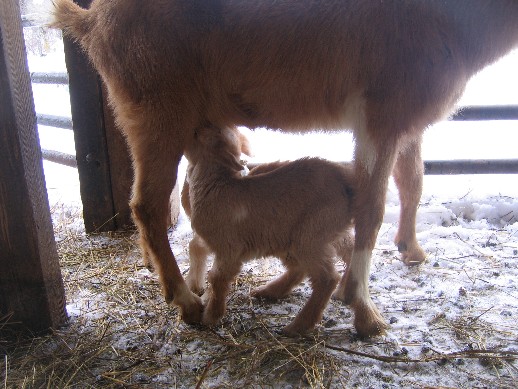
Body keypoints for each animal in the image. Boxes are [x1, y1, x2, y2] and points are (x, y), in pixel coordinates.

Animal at [184, 126, 358, 334]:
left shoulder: (229, 248)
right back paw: (270, 292)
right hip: (307, 235)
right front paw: (201, 295)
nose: (193, 129)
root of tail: (347, 183)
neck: (215, 185)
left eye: (197, 135)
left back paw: (298, 325)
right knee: (337, 255)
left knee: (326, 278)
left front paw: (210, 316)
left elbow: (217, 278)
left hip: (312, 233)